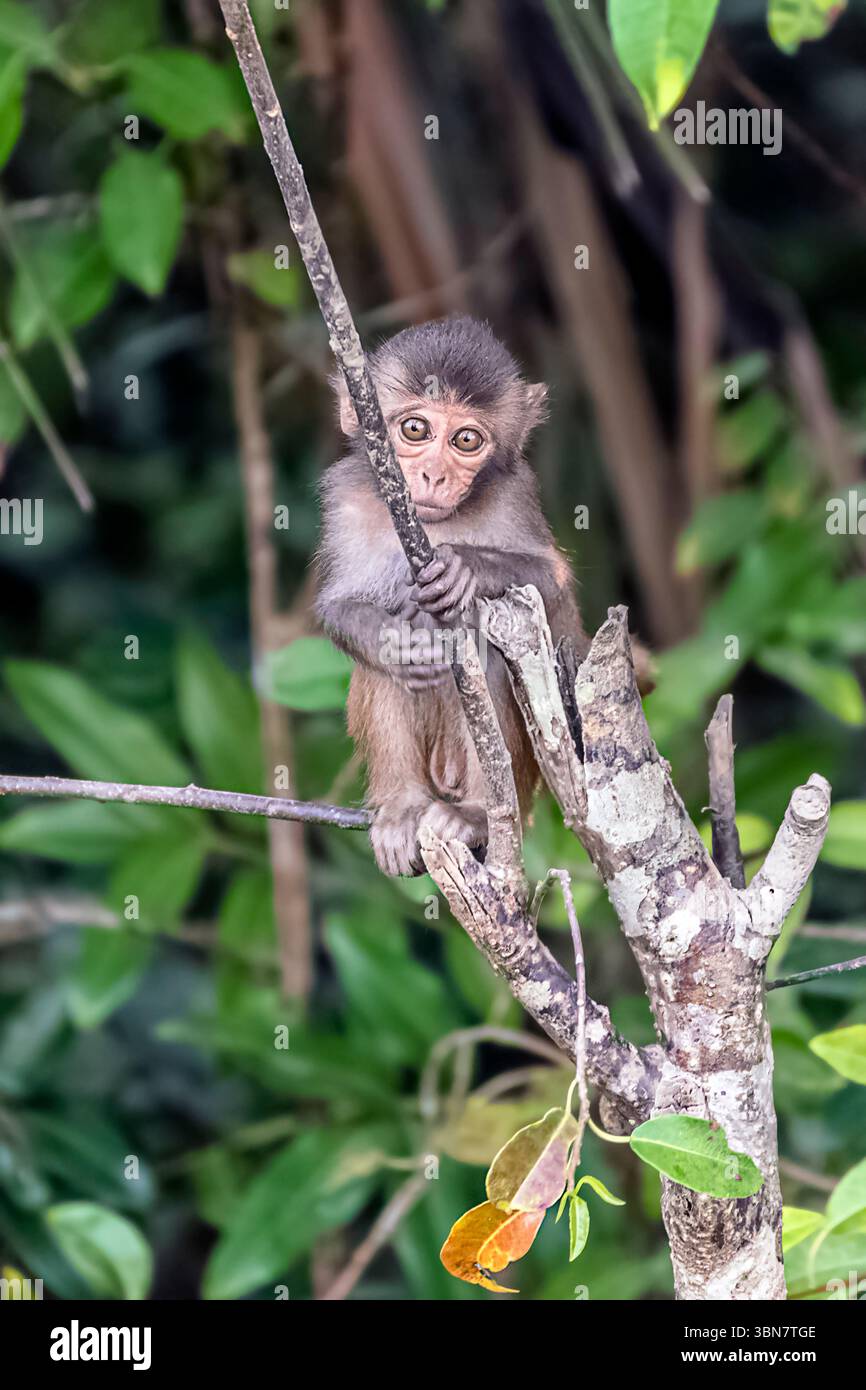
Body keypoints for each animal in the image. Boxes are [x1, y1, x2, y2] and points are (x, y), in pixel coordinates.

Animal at [315, 315, 588, 877]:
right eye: (415, 429)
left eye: (466, 439)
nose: (434, 475)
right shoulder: (344, 497)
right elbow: (340, 608)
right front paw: (398, 643)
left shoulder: (517, 493)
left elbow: (551, 584)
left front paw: (463, 568)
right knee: (384, 671)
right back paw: (402, 808)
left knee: (489, 659)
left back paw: (476, 815)